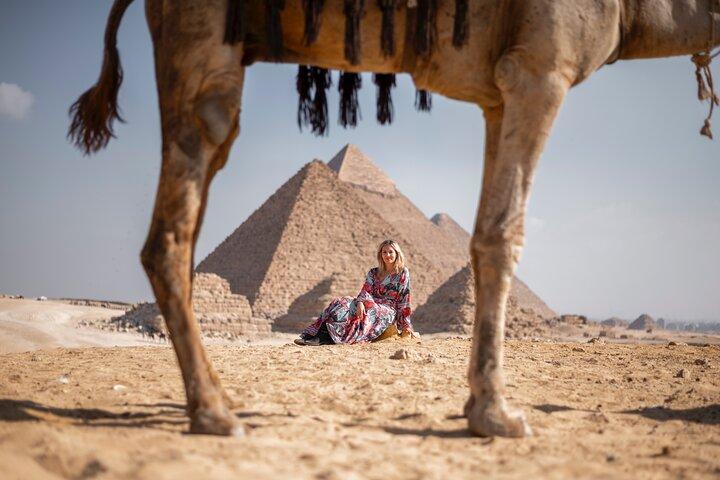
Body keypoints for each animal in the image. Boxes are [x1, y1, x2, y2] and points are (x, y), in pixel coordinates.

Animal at [68, 0, 720, 437]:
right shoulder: (540, 68)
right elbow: (503, 234)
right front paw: (495, 414)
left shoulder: (498, 92)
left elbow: (485, 231)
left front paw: (480, 406)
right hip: (204, 55)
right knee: (170, 235)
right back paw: (214, 409)